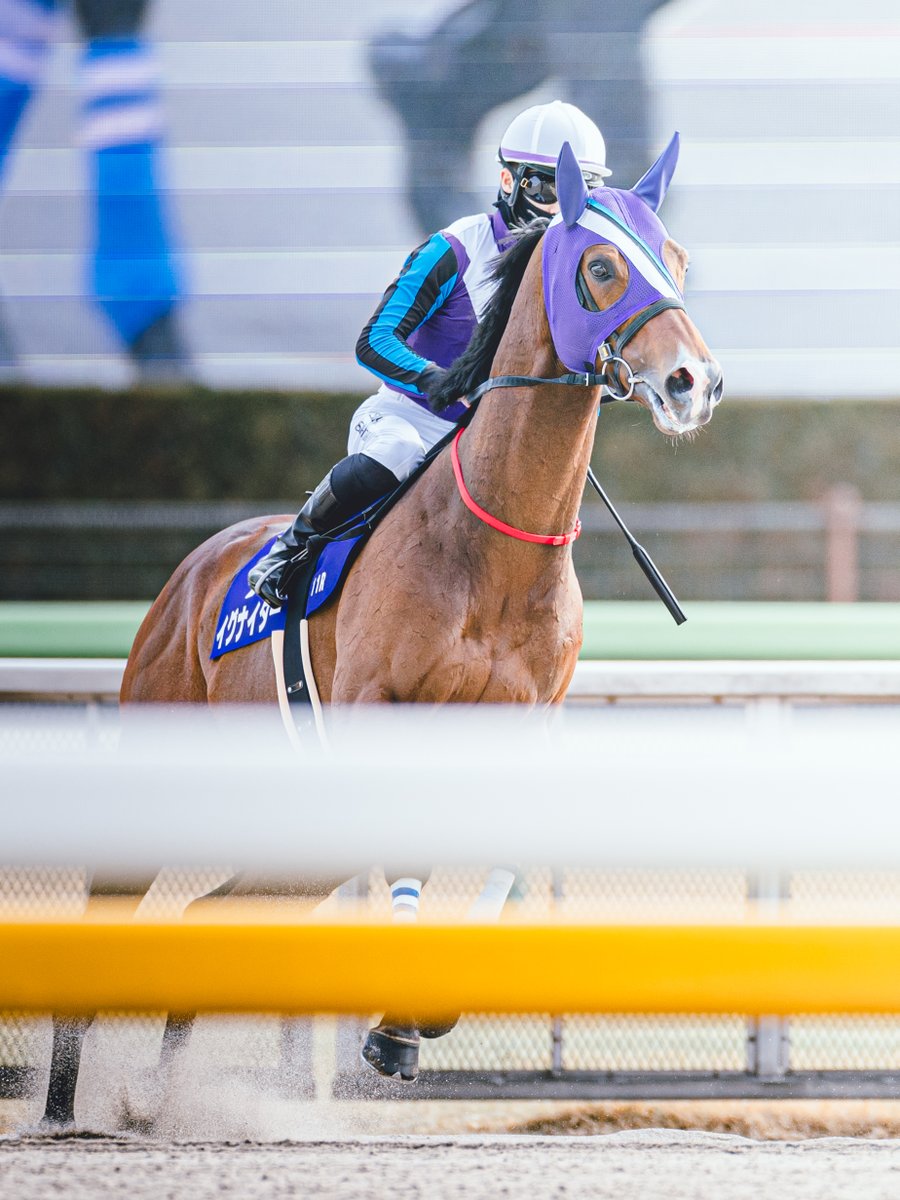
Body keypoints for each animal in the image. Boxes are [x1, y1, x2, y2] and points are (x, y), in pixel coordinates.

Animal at [37, 136, 724, 1128]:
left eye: (676, 259)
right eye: (600, 267)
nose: (693, 383)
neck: (496, 544)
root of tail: (191, 574)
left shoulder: (524, 727)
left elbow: (503, 857)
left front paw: (420, 1015)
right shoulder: (382, 707)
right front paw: (391, 1027)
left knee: (212, 915)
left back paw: (161, 1100)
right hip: (160, 752)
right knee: (114, 905)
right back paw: (61, 1105)